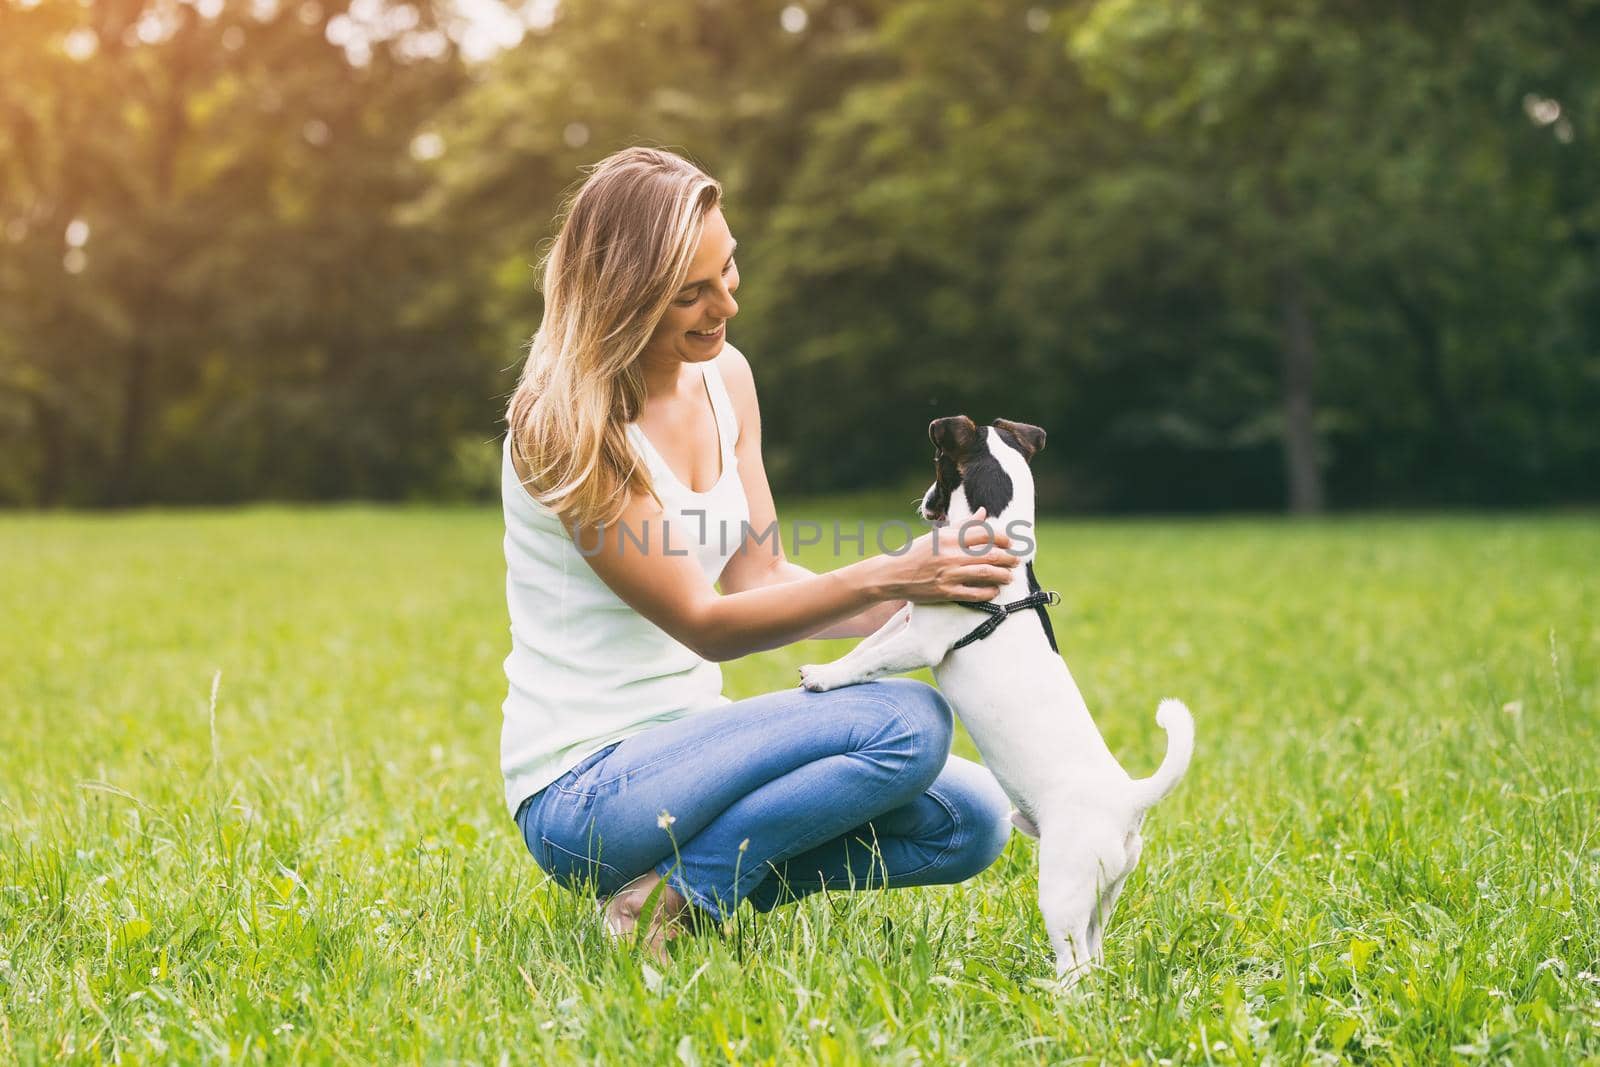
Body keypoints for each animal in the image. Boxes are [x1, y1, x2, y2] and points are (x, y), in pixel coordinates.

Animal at [800, 419, 1190, 991]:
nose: (923, 504)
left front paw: (825, 679)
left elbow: (865, 663)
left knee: (1076, 964)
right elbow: (865, 649)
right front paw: (826, 666)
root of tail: (1130, 800)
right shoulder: (906, 619)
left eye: (937, 464)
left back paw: (1051, 994)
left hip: (1063, 885)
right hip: (1104, 892)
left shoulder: (923, 642)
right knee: (1093, 954)